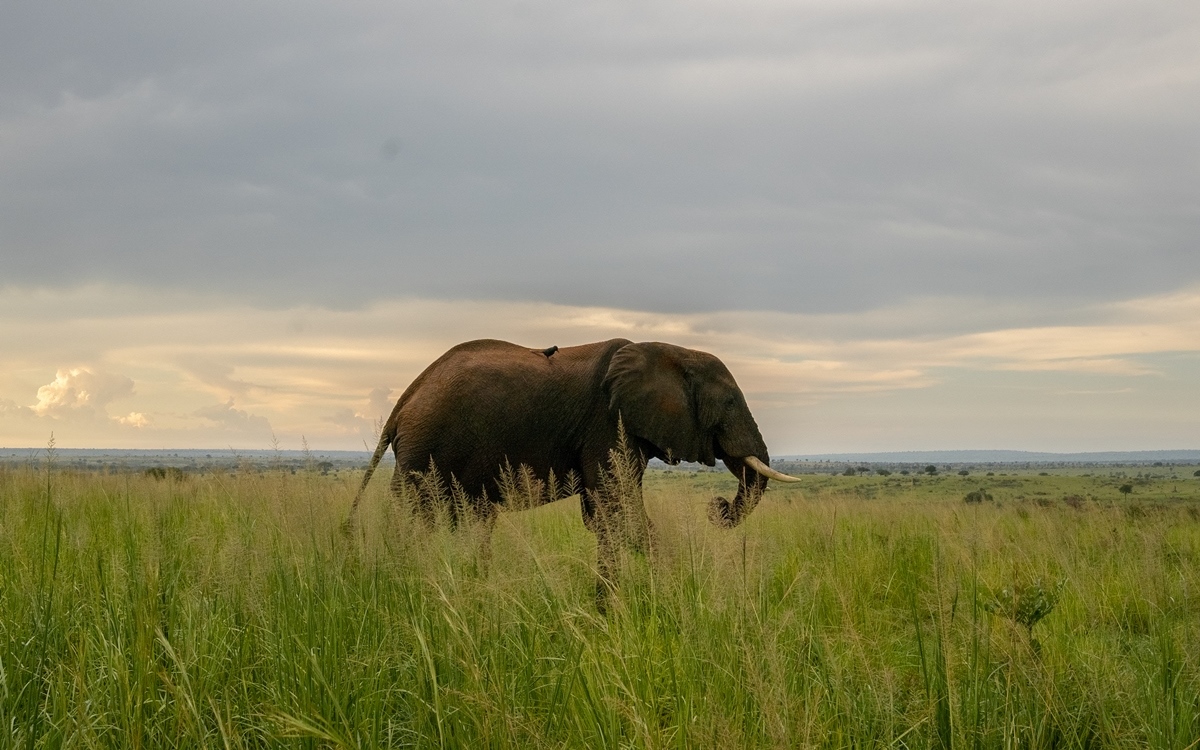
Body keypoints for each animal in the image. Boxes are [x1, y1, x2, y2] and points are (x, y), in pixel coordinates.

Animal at [348, 338, 796, 597]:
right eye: (731, 403)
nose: (717, 505)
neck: (669, 351)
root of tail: (403, 402)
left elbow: (604, 517)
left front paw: (608, 605)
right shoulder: (607, 422)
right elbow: (620, 514)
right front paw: (667, 593)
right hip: (425, 452)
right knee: (415, 520)